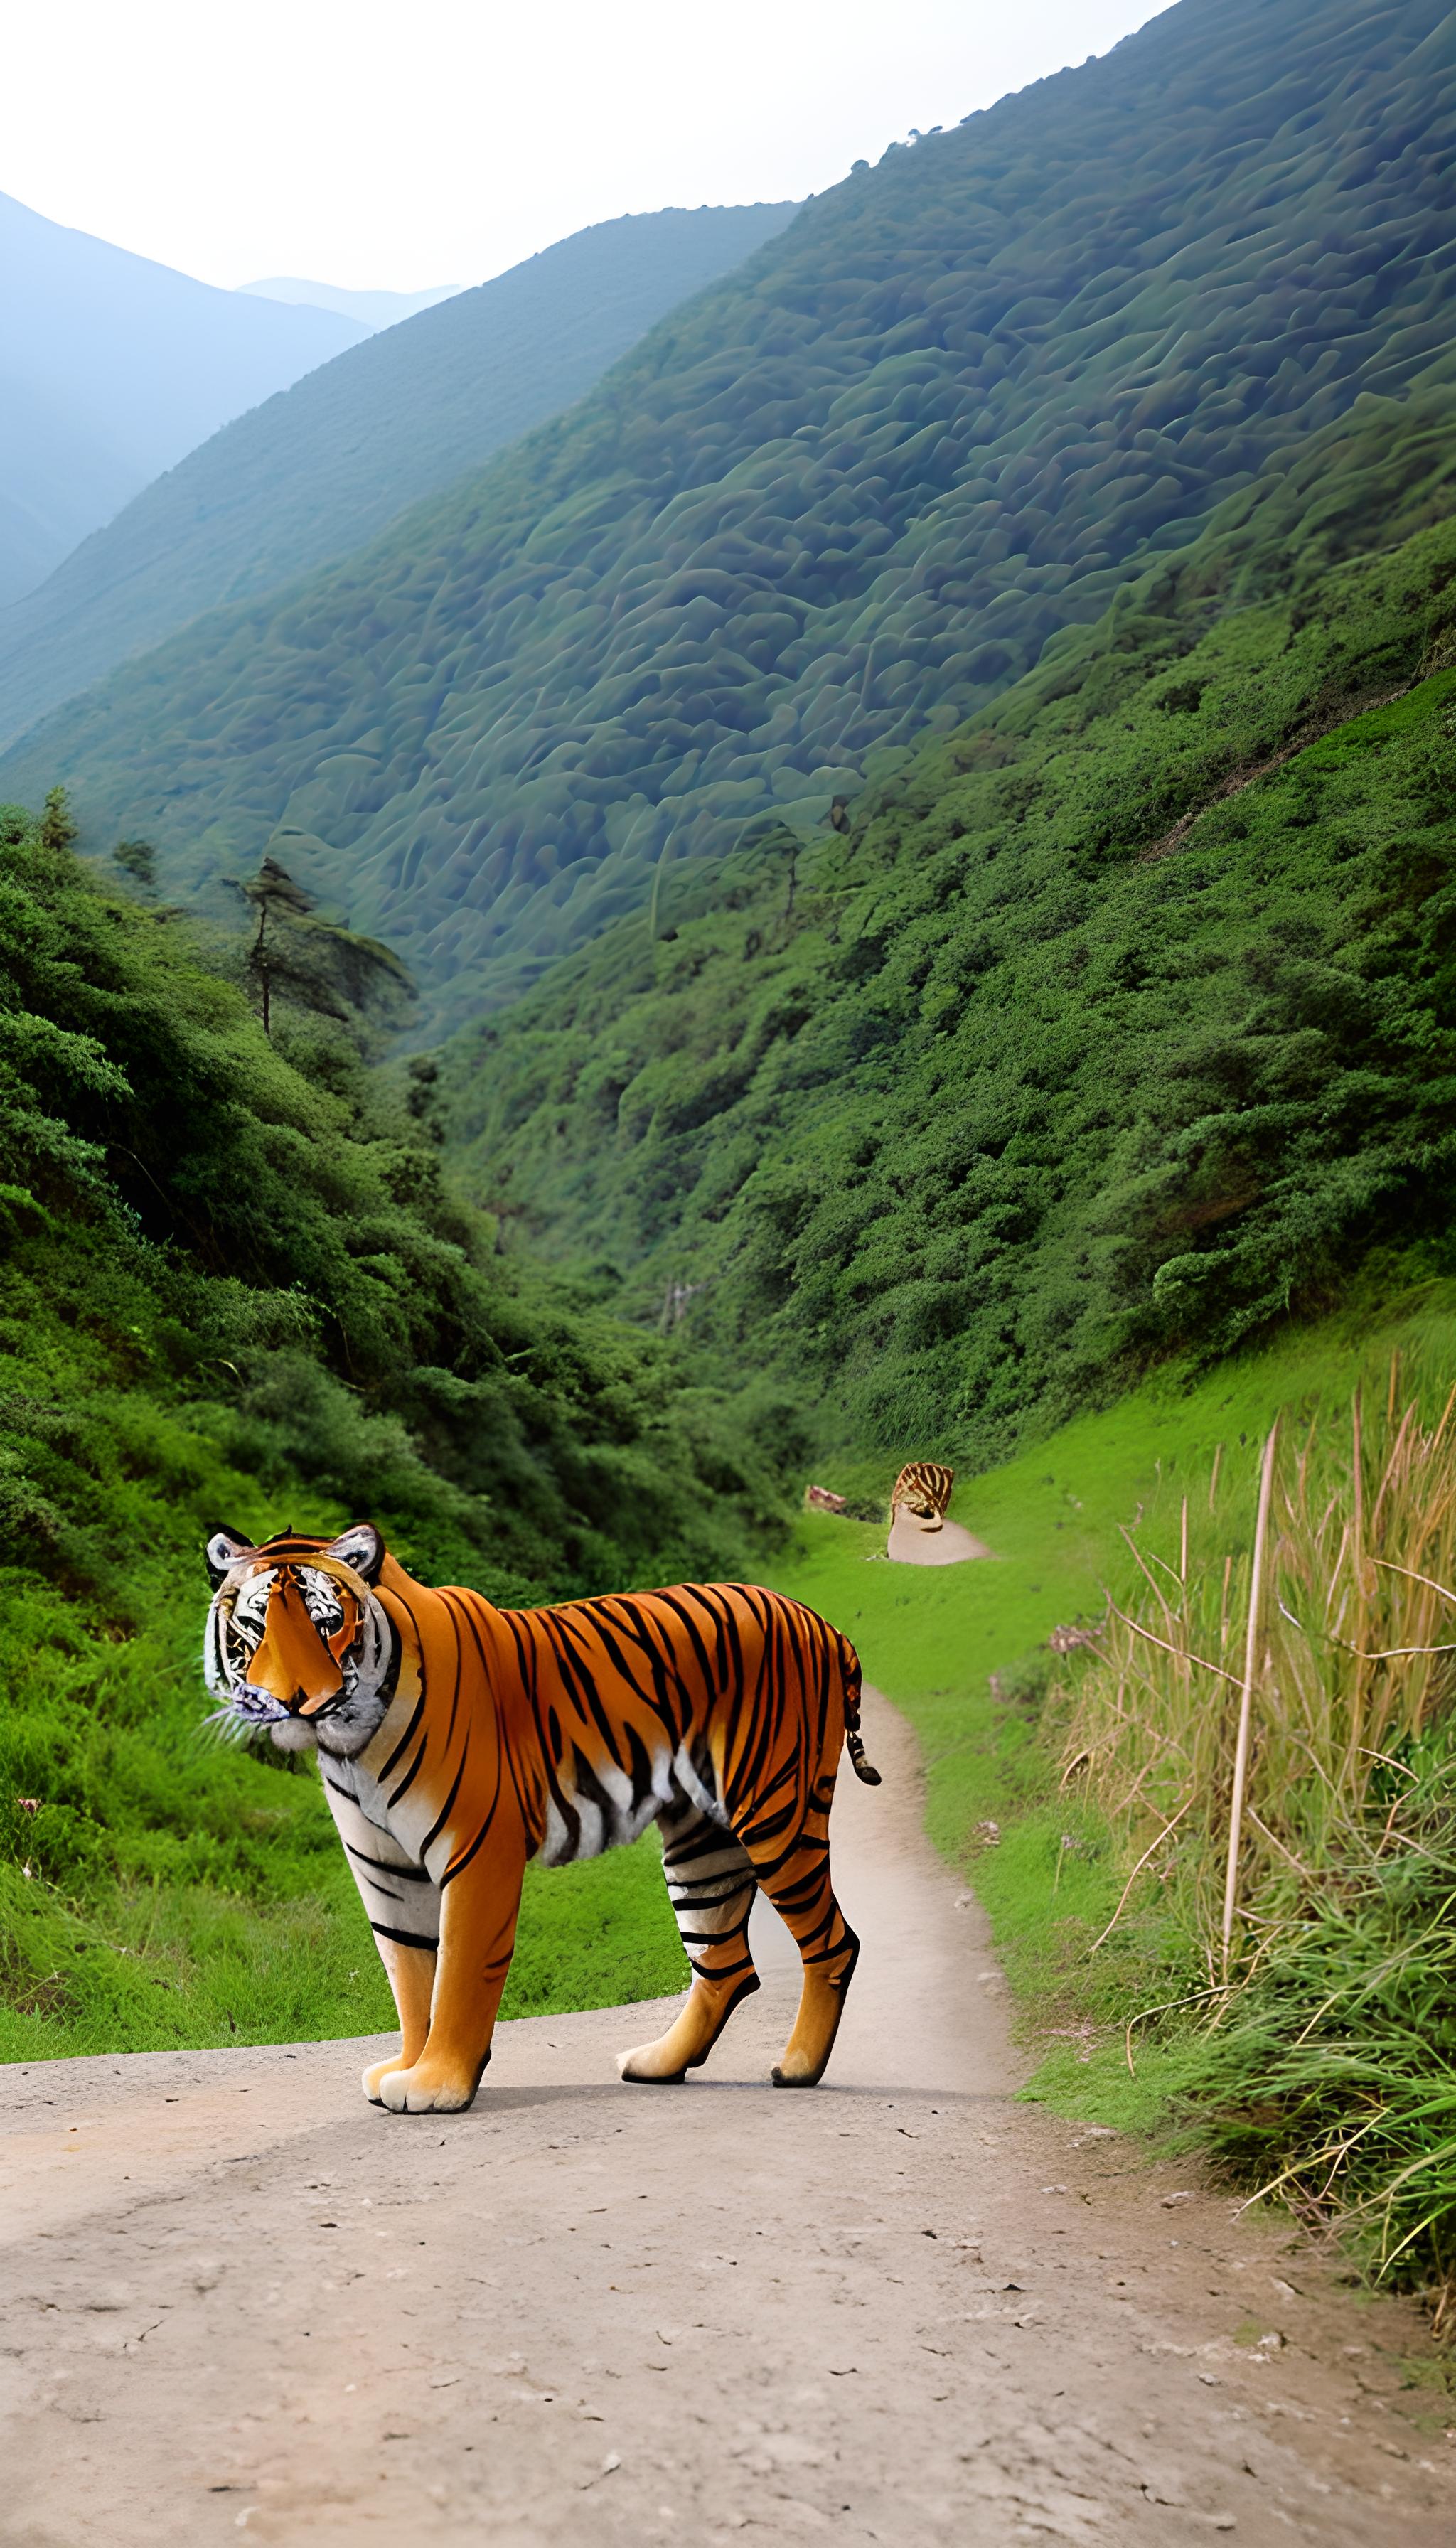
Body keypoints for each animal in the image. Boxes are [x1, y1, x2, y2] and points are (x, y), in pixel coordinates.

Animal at [203, 1529, 877, 2109]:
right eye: (254, 1627)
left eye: (327, 1623)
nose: (291, 1702)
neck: (349, 1743)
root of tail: (826, 1626)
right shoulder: (384, 1869)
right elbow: (410, 1974)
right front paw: (408, 2066)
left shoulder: (477, 1849)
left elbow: (458, 1974)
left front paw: (438, 2084)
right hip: (701, 1842)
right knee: (727, 1966)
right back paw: (658, 2063)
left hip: (776, 1815)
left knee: (834, 1942)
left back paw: (798, 2067)